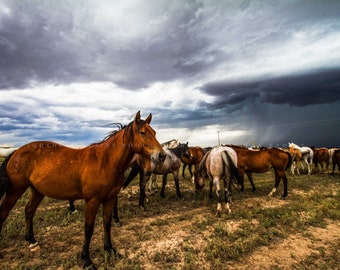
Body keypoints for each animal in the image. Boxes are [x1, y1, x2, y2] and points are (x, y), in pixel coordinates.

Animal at [0, 111, 165, 268]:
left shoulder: (109, 199)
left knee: (29, 211)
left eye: (154, 132)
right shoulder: (92, 201)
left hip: (37, 191)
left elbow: (107, 224)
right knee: (4, 212)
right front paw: (86, 259)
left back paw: (32, 241)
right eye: (142, 132)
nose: (161, 155)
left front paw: (110, 250)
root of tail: (16, 152)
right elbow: (88, 229)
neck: (104, 161)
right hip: (15, 190)